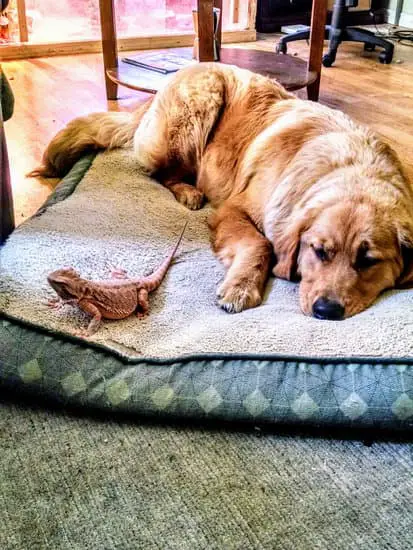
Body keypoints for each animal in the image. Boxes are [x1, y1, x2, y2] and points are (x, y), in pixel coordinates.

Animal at [30, 62, 412, 322]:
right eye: (319, 251)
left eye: (369, 261)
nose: (326, 310)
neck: (352, 167)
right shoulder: (234, 209)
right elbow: (260, 244)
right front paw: (240, 286)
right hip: (199, 106)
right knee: (160, 172)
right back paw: (188, 191)